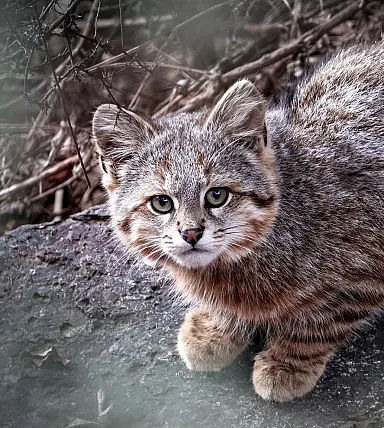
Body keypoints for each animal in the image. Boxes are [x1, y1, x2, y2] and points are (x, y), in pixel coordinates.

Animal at [92, 41, 384, 402]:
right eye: (162, 203)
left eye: (217, 195)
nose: (191, 233)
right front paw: (216, 328)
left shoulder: (364, 269)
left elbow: (319, 322)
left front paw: (286, 363)